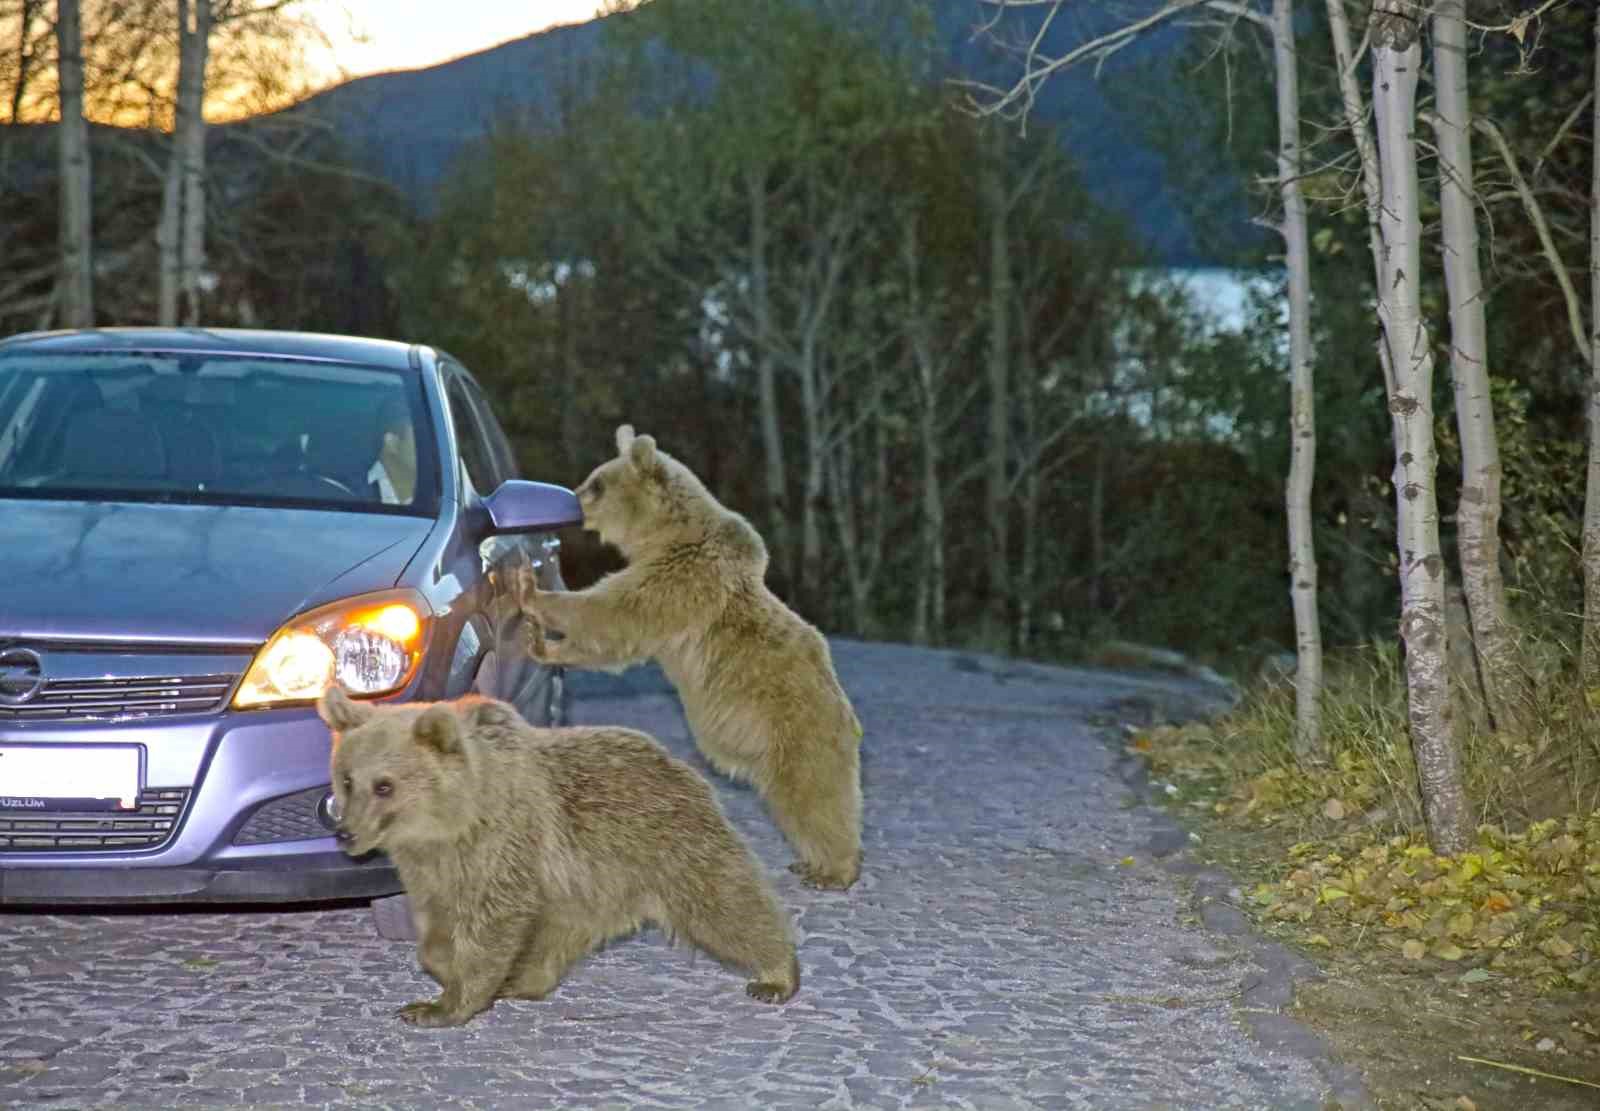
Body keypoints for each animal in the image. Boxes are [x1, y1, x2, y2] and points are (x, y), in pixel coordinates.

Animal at [318, 688, 800, 1037]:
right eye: (348, 778)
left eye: (384, 785)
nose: (346, 832)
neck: (451, 823)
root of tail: (680, 763)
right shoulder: (431, 869)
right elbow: (437, 927)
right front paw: (444, 970)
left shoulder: (503, 846)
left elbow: (492, 925)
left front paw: (441, 1005)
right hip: (583, 885)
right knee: (557, 935)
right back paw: (522, 980)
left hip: (667, 845)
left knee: (724, 904)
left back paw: (777, 975)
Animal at [518, 425, 864, 896]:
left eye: (597, 483)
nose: (572, 500)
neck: (663, 535)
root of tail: (847, 717)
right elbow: (611, 640)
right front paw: (545, 644)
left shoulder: (679, 580)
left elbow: (612, 613)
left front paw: (531, 591)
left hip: (798, 731)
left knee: (814, 797)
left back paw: (832, 870)